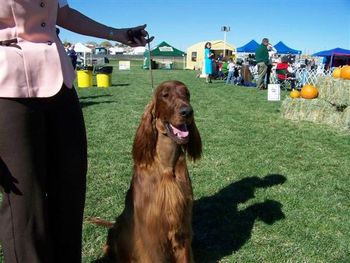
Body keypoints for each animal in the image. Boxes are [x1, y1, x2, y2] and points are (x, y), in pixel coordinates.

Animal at [101, 81, 201, 263]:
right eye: (165, 95)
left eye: (187, 94)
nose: (187, 112)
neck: (166, 164)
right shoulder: (152, 234)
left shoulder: (183, 226)